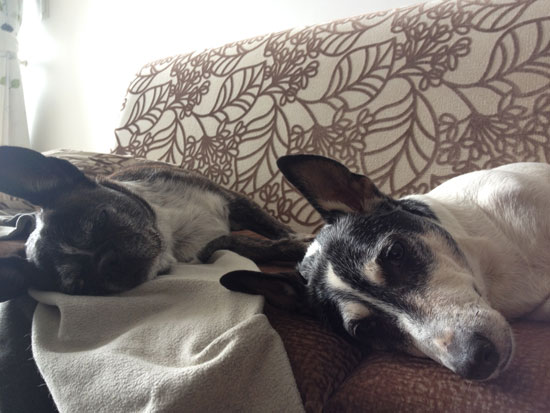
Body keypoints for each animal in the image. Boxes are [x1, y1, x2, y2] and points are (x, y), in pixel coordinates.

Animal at [0, 146, 308, 300]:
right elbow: (246, 243)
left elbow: (274, 228)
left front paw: (297, 238)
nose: (108, 262)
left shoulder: (233, 201)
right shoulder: (209, 248)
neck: (170, 229)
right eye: (80, 285)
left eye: (102, 218)